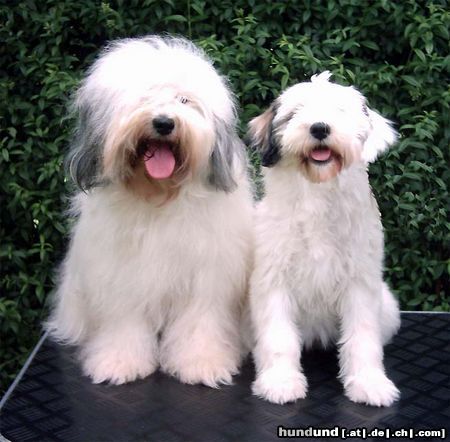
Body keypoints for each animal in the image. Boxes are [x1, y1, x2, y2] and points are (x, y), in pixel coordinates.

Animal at [48, 36, 256, 386]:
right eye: (142, 96)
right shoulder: (122, 278)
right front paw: (119, 363)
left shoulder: (206, 278)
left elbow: (200, 322)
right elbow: (124, 324)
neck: (159, 198)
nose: (164, 122)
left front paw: (202, 363)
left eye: (184, 100)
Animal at [250, 73, 400, 408]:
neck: (317, 190)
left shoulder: (359, 283)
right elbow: (279, 337)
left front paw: (369, 382)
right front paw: (281, 381)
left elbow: (362, 337)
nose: (319, 128)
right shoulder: (274, 279)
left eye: (340, 111)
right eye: (295, 113)